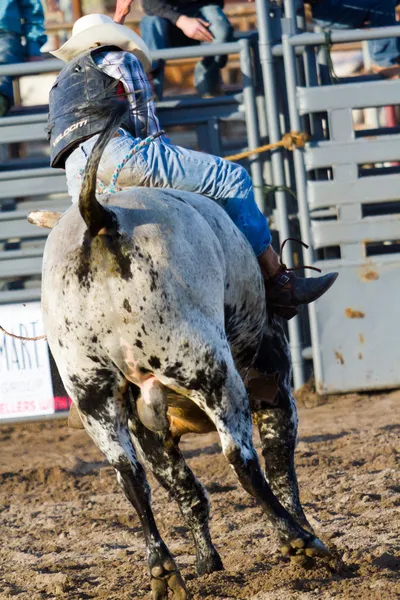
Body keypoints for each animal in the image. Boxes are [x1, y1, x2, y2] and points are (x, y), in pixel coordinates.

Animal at [39, 99, 330, 600]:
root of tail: (102, 219)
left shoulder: (146, 424)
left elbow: (182, 488)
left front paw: (205, 562)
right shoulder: (275, 391)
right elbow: (280, 471)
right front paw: (301, 535)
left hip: (91, 389)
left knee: (129, 476)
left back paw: (163, 569)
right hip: (210, 372)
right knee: (240, 459)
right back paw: (300, 541)